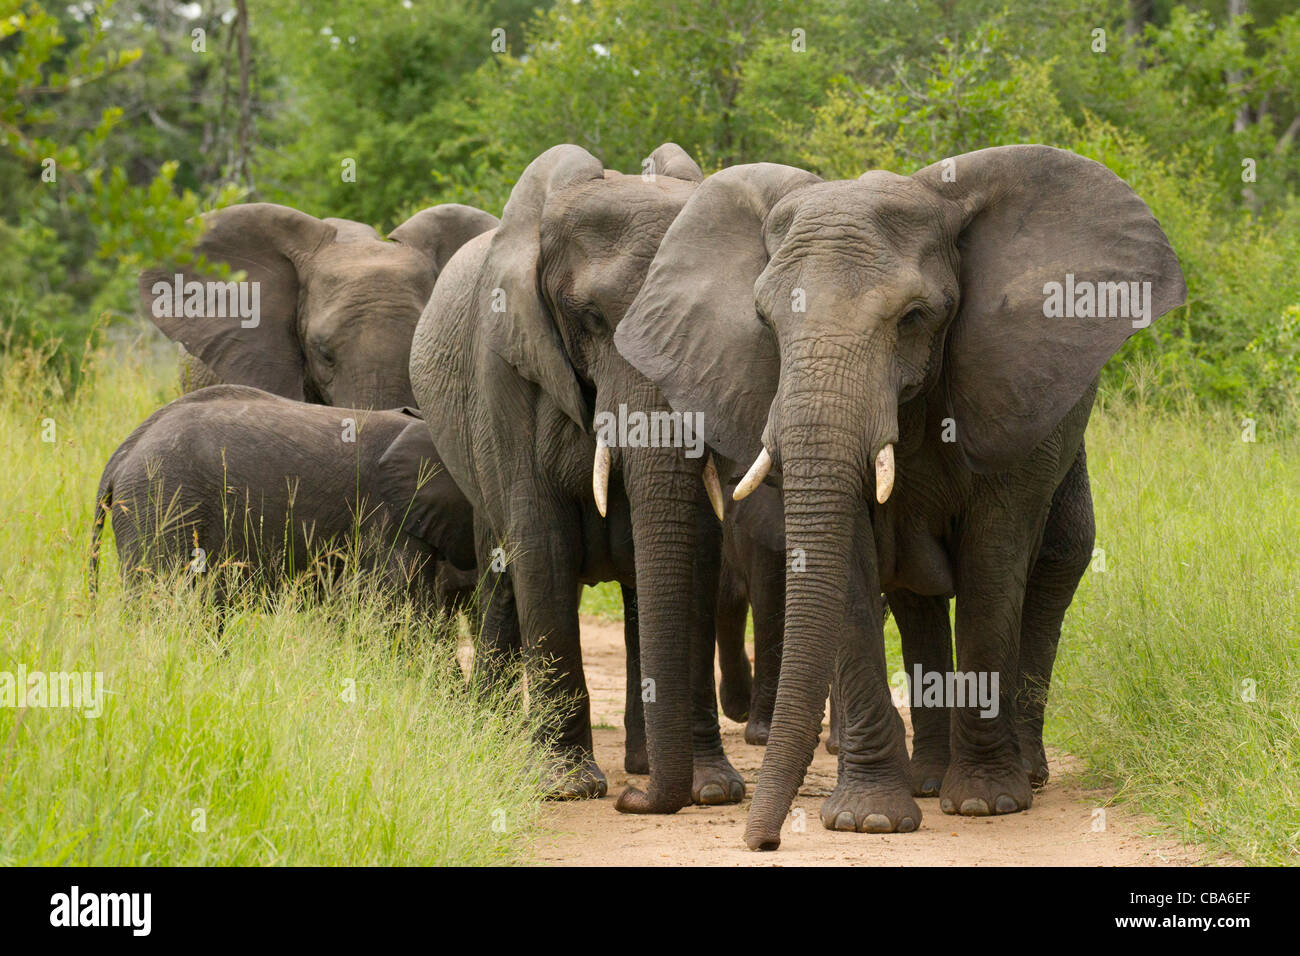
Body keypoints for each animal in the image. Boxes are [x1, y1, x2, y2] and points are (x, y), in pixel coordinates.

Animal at [410, 141, 748, 811]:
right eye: (590, 318)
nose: (634, 804)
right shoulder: (503, 371)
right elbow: (543, 546)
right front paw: (566, 786)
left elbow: (699, 547)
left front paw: (713, 790)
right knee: (502, 573)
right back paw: (495, 739)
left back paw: (643, 764)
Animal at [618, 145, 1190, 848]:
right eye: (764, 322)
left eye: (914, 317)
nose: (761, 840)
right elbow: (852, 565)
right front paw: (869, 820)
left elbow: (994, 565)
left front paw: (986, 804)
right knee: (917, 598)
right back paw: (927, 780)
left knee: (1052, 568)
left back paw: (1024, 776)